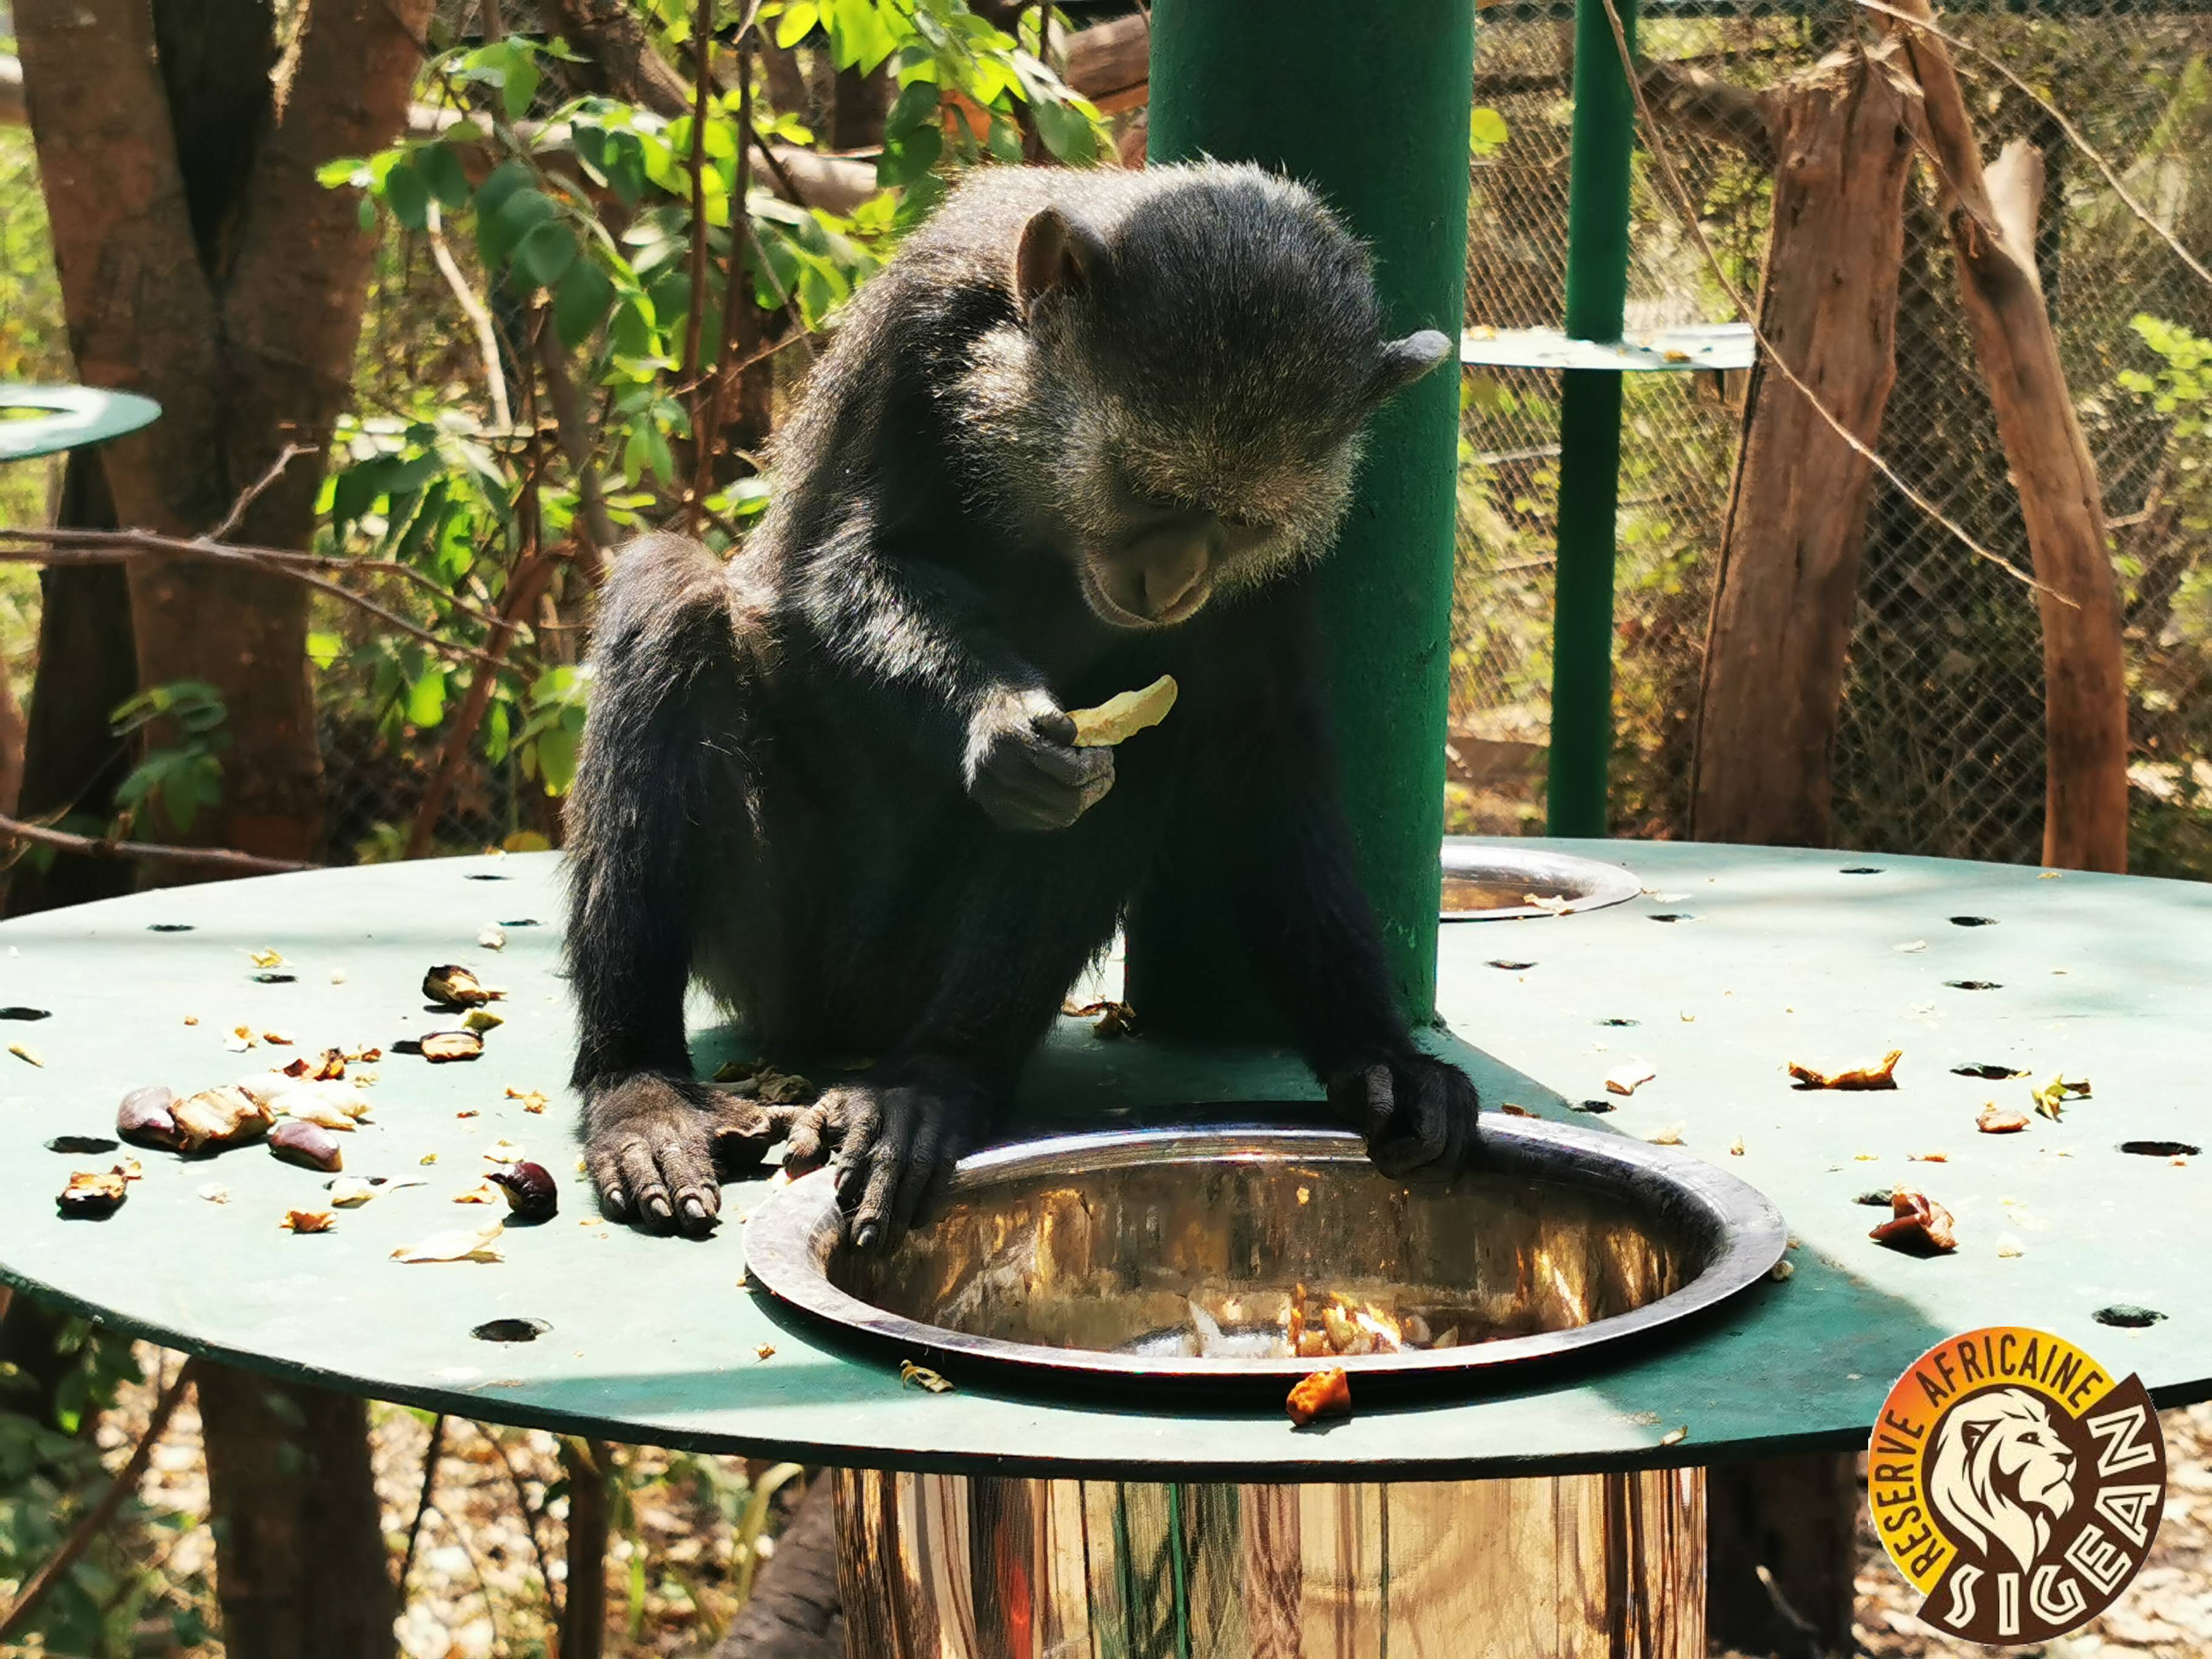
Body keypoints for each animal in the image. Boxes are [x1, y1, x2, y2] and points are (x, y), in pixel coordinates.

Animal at [561, 163, 1477, 1247]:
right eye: (1139, 484)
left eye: (1242, 520)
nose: (1172, 580)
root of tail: (844, 1018)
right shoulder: (923, 318)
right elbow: (848, 562)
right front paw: (998, 724)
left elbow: (1265, 751)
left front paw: (1378, 1054)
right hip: (768, 942)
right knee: (673, 596)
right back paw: (638, 1081)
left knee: (1149, 744)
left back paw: (932, 1080)